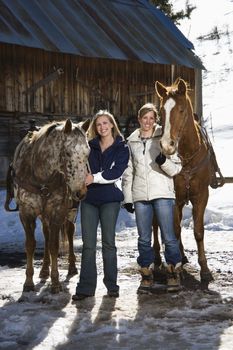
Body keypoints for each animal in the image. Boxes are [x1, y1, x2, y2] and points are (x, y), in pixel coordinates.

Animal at [5, 119, 89, 292]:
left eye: (88, 152)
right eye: (67, 153)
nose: (81, 192)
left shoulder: (57, 211)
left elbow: (54, 246)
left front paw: (55, 282)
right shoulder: (26, 213)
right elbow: (31, 245)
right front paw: (28, 282)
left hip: (70, 212)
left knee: (69, 232)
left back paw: (71, 267)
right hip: (44, 215)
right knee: (46, 233)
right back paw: (44, 269)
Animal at [154, 78, 214, 282]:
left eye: (181, 110)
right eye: (161, 111)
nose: (166, 145)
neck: (187, 159)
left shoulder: (201, 196)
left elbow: (198, 231)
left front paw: (205, 269)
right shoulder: (172, 198)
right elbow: (173, 229)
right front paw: (176, 265)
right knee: (156, 225)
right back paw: (158, 257)